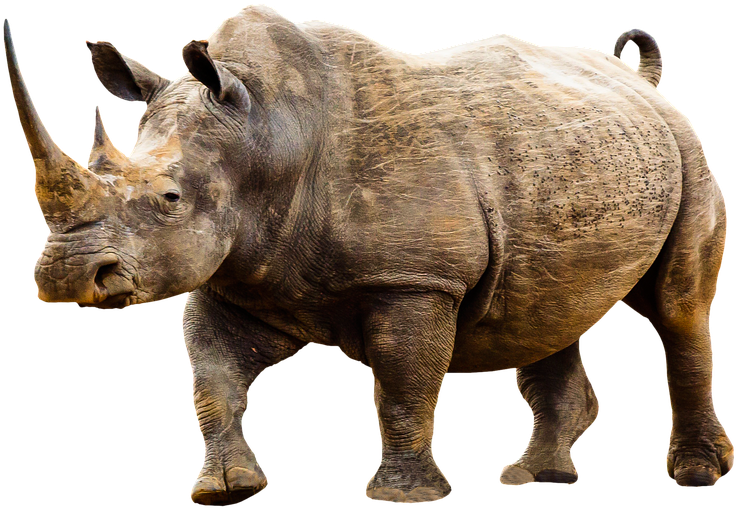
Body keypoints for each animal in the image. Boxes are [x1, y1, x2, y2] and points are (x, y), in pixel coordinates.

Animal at [5, 3, 733, 504]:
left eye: (169, 198)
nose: (66, 275)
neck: (266, 132)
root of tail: (640, 81)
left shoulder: (414, 278)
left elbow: (402, 386)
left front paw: (404, 495)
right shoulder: (233, 272)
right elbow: (212, 380)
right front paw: (226, 489)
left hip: (686, 151)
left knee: (677, 307)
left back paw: (695, 474)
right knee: (549, 307)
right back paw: (535, 477)